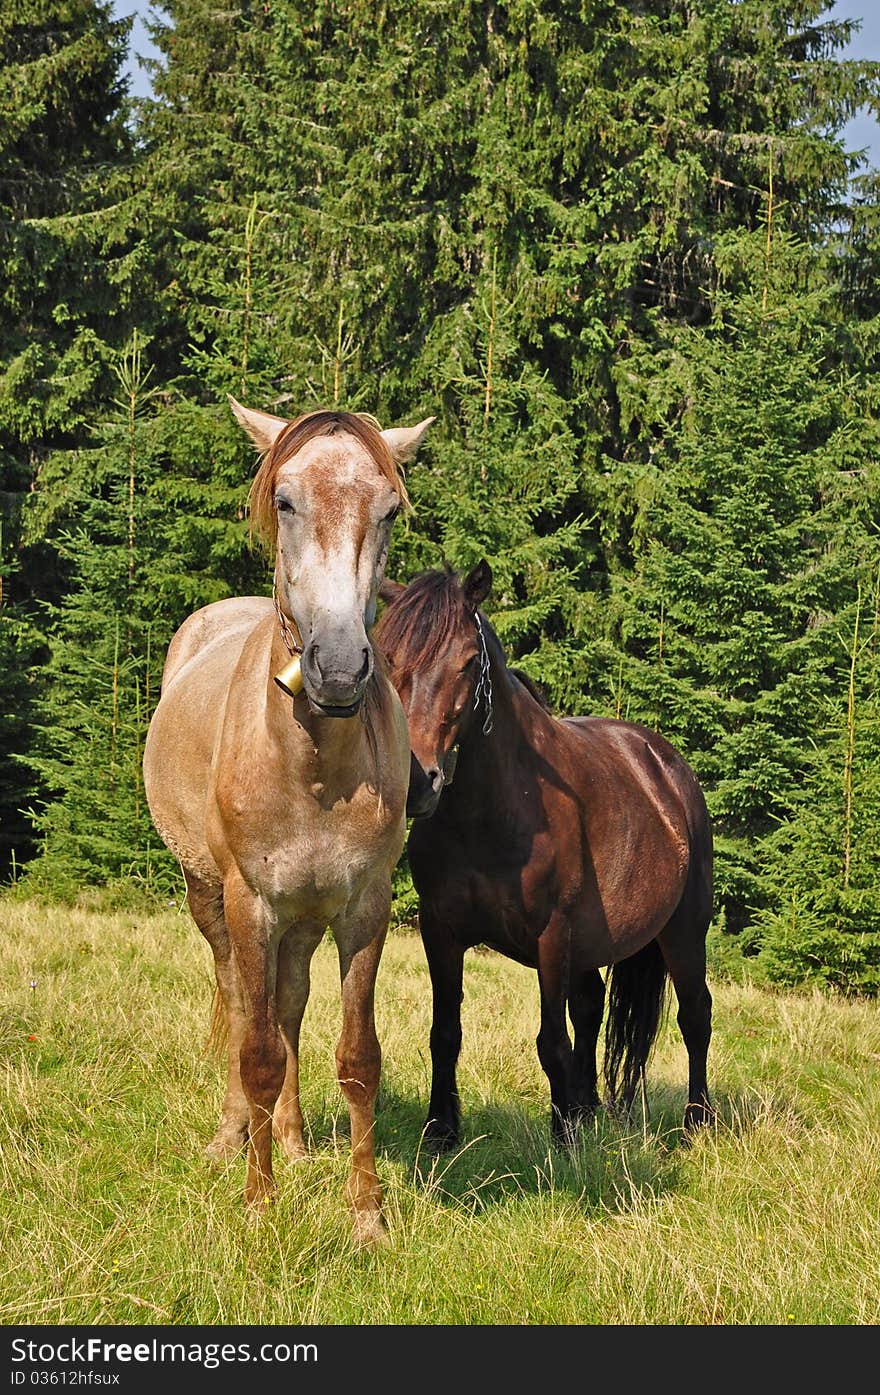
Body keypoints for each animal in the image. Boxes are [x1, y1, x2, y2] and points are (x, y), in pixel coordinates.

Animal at [140, 401, 435, 1244]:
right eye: (285, 501)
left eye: (389, 509)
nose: (338, 666)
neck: (311, 761)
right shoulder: (253, 902)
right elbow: (258, 1051)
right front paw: (259, 1203)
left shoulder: (364, 907)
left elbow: (357, 1056)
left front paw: (365, 1214)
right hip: (211, 896)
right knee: (245, 1005)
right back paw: (231, 1135)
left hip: (304, 919)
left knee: (290, 1005)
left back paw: (295, 1140)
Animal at [379, 560, 714, 1149]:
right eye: (390, 656)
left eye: (468, 662)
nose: (419, 782)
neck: (494, 813)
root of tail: (668, 769)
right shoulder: (440, 932)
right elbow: (445, 1033)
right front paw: (441, 1131)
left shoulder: (552, 937)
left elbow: (551, 1041)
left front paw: (564, 1142)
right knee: (593, 1007)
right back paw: (588, 1107)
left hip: (683, 933)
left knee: (695, 1016)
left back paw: (696, 1121)